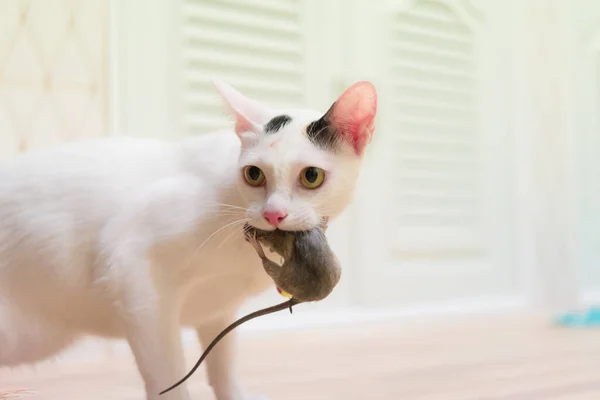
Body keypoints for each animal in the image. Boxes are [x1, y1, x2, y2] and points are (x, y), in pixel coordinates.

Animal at [0, 79, 378, 400]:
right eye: (254, 174)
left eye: (311, 176)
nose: (273, 214)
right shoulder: (136, 279)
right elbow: (169, 377)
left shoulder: (219, 309)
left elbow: (224, 369)